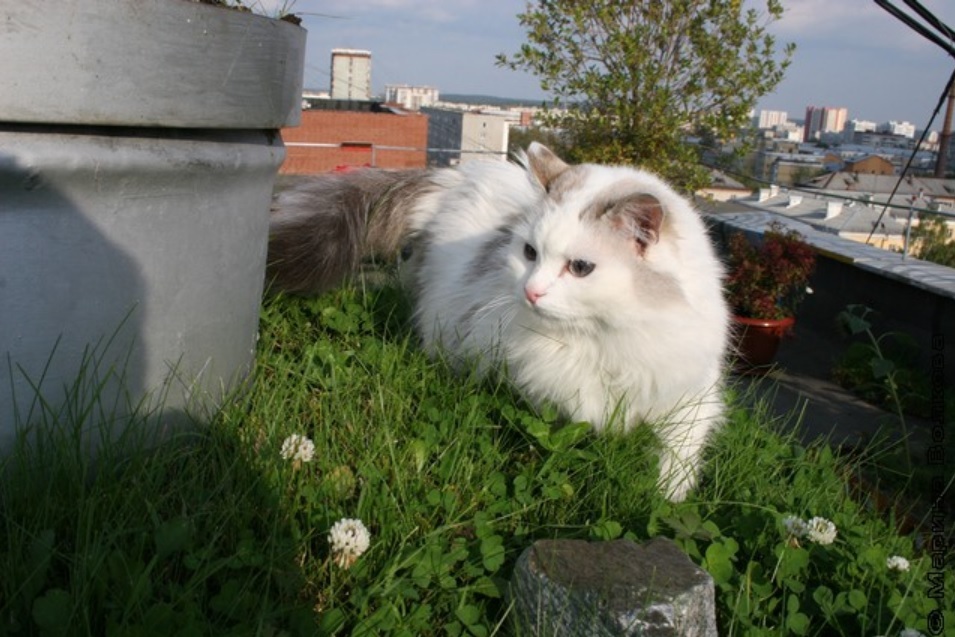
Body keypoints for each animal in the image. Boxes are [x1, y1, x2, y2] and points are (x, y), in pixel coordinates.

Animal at [268, 145, 732, 502]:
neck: (608, 335)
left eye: (581, 268)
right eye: (530, 253)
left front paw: (666, 498)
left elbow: (678, 456)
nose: (531, 292)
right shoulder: (553, 387)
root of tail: (455, 176)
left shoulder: (691, 398)